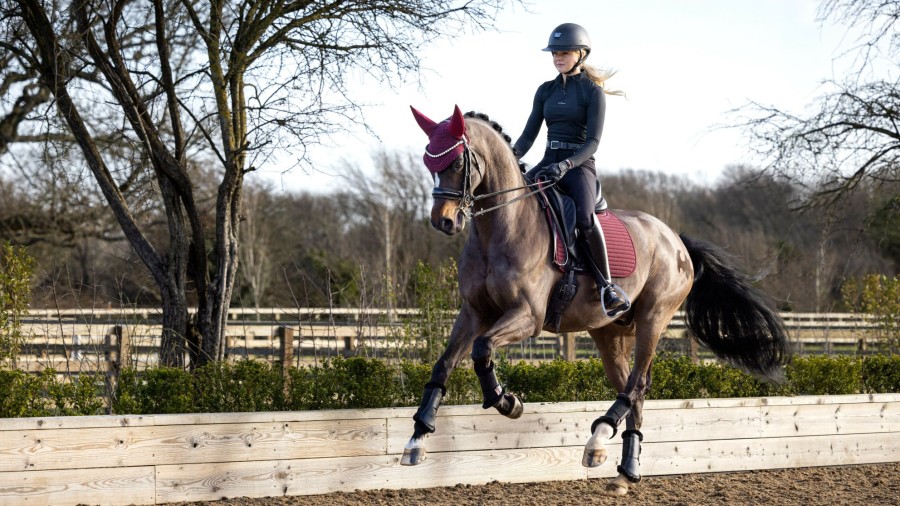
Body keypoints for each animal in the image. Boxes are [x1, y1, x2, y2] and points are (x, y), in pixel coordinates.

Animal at [402, 105, 788, 496]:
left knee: (636, 384)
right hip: (610, 334)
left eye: (457, 161)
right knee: (633, 390)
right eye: (430, 162)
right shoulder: (474, 312)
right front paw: (417, 438)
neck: (501, 227)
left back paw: (600, 437)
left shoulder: (527, 316)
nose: (444, 222)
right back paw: (623, 470)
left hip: (653, 318)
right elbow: (444, 364)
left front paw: (507, 402)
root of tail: (677, 240)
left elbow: (482, 349)